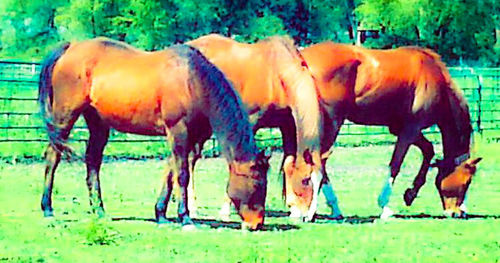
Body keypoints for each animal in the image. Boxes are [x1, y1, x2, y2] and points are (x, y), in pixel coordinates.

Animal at [39, 37, 270, 231]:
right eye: (258, 183)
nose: (256, 223)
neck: (192, 81)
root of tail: (70, 47)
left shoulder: (187, 136)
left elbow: (170, 173)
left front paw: (161, 214)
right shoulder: (178, 130)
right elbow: (182, 174)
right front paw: (185, 218)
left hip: (97, 122)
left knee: (93, 161)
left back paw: (99, 210)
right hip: (64, 117)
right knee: (53, 156)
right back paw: (48, 209)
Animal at [300, 42, 480, 220]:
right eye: (467, 182)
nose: (459, 213)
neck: (435, 76)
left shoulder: (401, 128)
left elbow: (428, 150)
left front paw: (411, 193)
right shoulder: (410, 129)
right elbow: (396, 164)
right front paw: (385, 206)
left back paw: (333, 208)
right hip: (332, 124)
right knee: (319, 162)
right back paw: (312, 211)